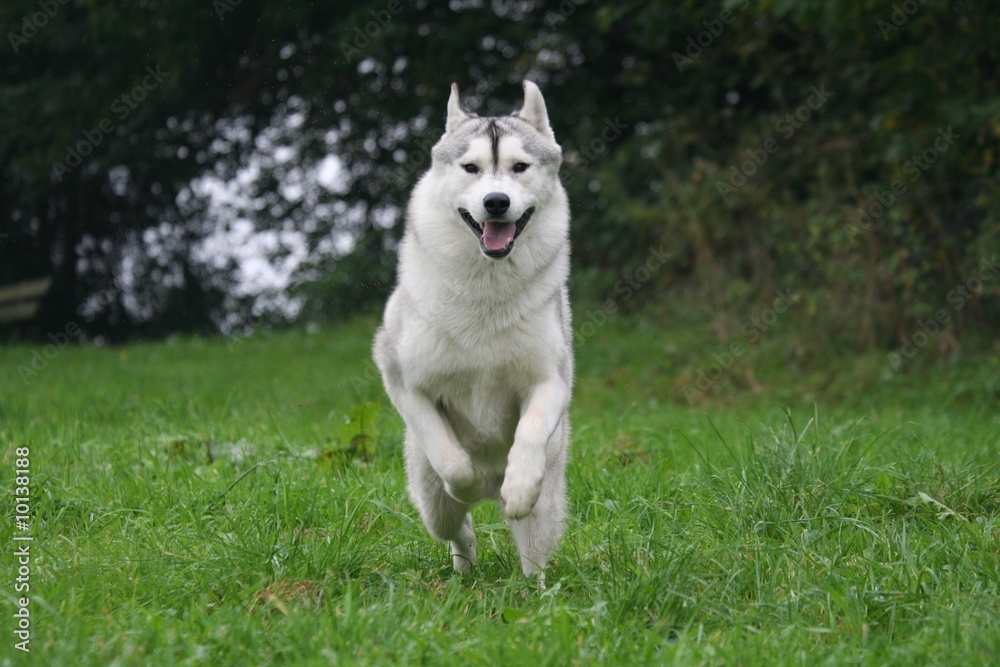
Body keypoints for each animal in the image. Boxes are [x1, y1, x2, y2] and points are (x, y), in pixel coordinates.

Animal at [376, 82, 576, 584]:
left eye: (519, 167)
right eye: (471, 168)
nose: (496, 202)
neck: (487, 287)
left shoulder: (552, 380)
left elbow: (531, 430)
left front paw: (517, 483)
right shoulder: (400, 377)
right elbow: (447, 452)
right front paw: (465, 481)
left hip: (547, 502)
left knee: (532, 552)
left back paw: (535, 590)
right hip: (430, 500)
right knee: (458, 529)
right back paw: (464, 568)